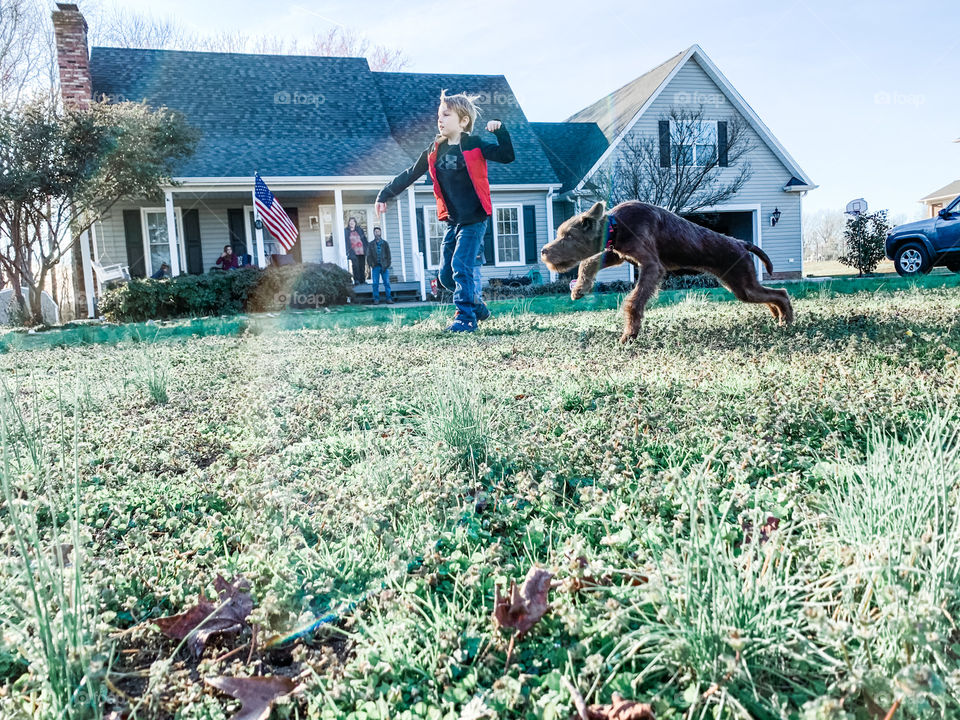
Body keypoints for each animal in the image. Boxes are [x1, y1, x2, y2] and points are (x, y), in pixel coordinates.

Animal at [540, 198, 796, 342]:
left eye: (568, 236)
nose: (543, 252)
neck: (617, 225)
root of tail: (741, 243)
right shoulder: (617, 253)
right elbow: (589, 262)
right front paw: (579, 289)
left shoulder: (652, 266)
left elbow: (634, 301)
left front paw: (629, 334)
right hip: (739, 285)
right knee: (772, 295)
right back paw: (777, 315)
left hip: (742, 283)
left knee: (781, 293)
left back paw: (786, 320)